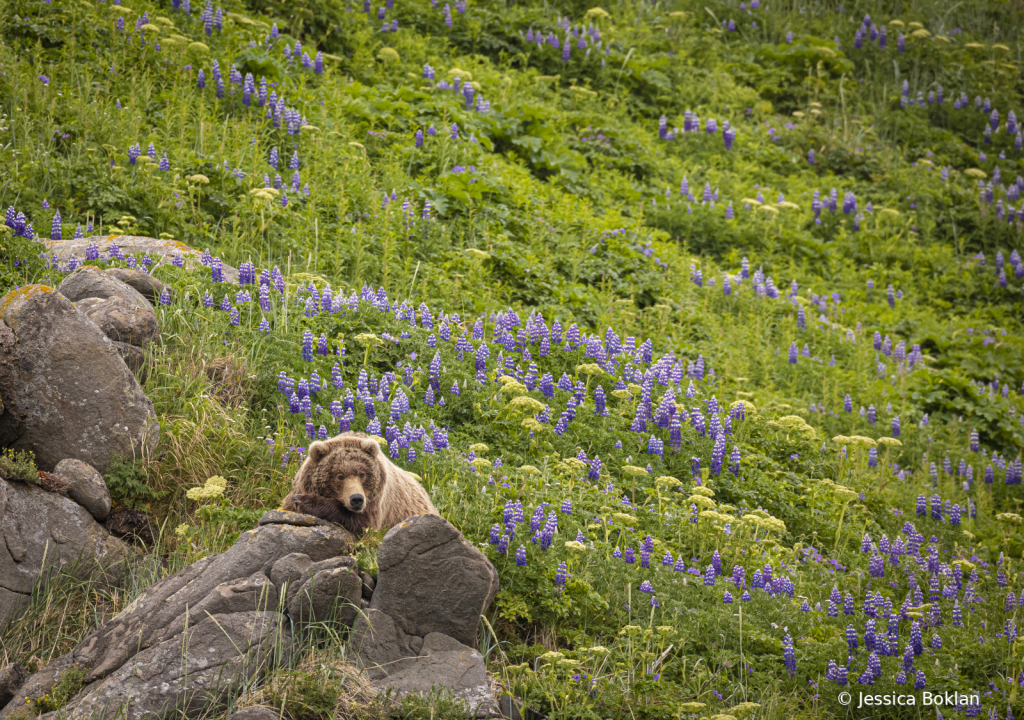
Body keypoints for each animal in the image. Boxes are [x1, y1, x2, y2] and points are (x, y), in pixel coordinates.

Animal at [282, 434, 438, 536]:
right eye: (339, 476)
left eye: (362, 474)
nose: (356, 499)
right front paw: (299, 501)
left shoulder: (377, 500)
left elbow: (365, 524)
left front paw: (304, 501)